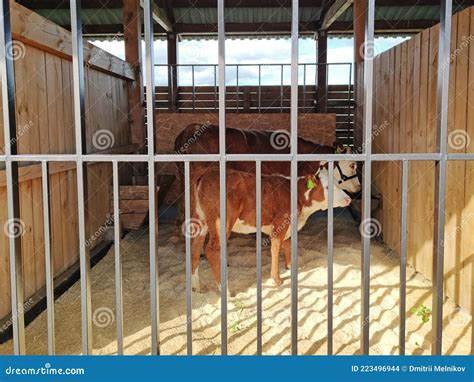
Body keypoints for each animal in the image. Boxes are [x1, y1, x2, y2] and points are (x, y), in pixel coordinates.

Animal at [189, 166, 352, 290]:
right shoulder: (280, 223)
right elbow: (276, 249)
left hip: (200, 220)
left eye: (338, 183)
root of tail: (207, 172)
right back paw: (226, 290)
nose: (348, 199)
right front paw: (277, 279)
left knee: (195, 247)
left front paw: (290, 267)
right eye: (327, 187)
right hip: (222, 221)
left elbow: (288, 244)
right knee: (211, 250)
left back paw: (196, 286)